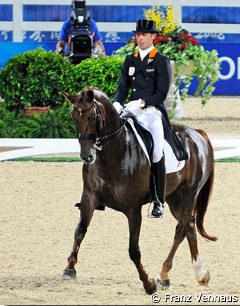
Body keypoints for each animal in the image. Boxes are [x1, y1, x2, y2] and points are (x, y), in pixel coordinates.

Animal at [62, 85, 218, 294]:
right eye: (74, 116)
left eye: (92, 117)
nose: (87, 156)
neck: (115, 153)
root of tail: (198, 133)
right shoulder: (89, 196)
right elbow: (80, 231)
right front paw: (69, 268)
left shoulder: (133, 209)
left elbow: (133, 250)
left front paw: (148, 283)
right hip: (174, 198)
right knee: (190, 227)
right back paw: (199, 274)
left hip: (189, 194)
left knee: (181, 228)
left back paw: (163, 273)